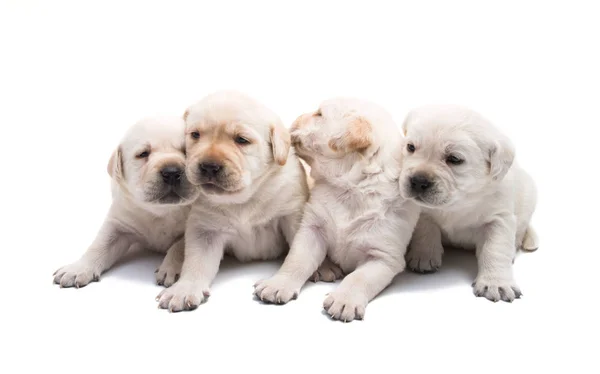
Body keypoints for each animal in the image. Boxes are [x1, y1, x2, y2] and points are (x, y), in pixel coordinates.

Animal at [52, 117, 198, 290]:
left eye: (187, 152)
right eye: (143, 154)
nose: (172, 172)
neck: (161, 211)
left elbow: (179, 246)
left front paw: (169, 268)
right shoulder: (119, 222)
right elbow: (100, 244)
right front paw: (78, 268)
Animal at [155, 90, 314, 312]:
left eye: (241, 140)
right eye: (195, 135)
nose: (209, 166)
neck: (243, 198)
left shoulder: (291, 214)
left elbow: (297, 254)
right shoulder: (205, 230)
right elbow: (196, 263)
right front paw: (184, 289)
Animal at [252, 97, 418, 322]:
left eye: (319, 114)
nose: (297, 117)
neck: (351, 188)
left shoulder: (384, 257)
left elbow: (358, 278)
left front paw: (344, 300)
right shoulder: (312, 230)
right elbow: (296, 260)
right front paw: (278, 284)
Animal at [398, 103, 540, 302]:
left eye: (454, 159)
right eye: (410, 147)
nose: (418, 181)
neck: (459, 201)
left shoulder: (499, 218)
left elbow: (495, 248)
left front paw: (496, 282)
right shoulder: (423, 211)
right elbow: (426, 229)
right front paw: (423, 256)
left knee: (519, 233)